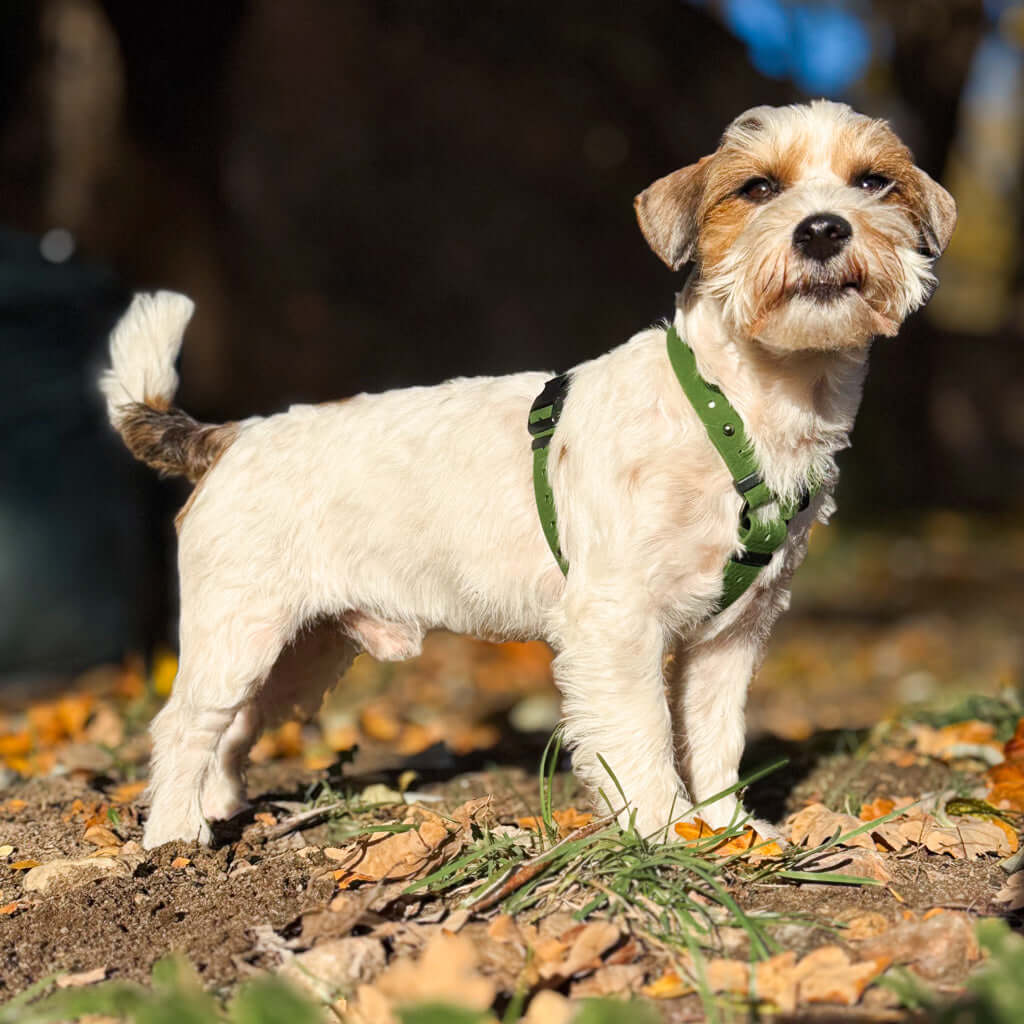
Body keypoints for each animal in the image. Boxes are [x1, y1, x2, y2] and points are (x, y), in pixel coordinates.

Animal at [99, 99, 954, 847]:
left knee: (233, 730)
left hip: (298, 655)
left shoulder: (732, 635)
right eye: (759, 189)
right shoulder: (616, 623)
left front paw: (729, 828)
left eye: (873, 182)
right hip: (238, 632)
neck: (733, 408)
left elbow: (715, 737)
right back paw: (173, 836)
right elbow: (644, 736)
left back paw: (214, 807)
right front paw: (666, 833)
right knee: (185, 725)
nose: (824, 229)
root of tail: (230, 436)